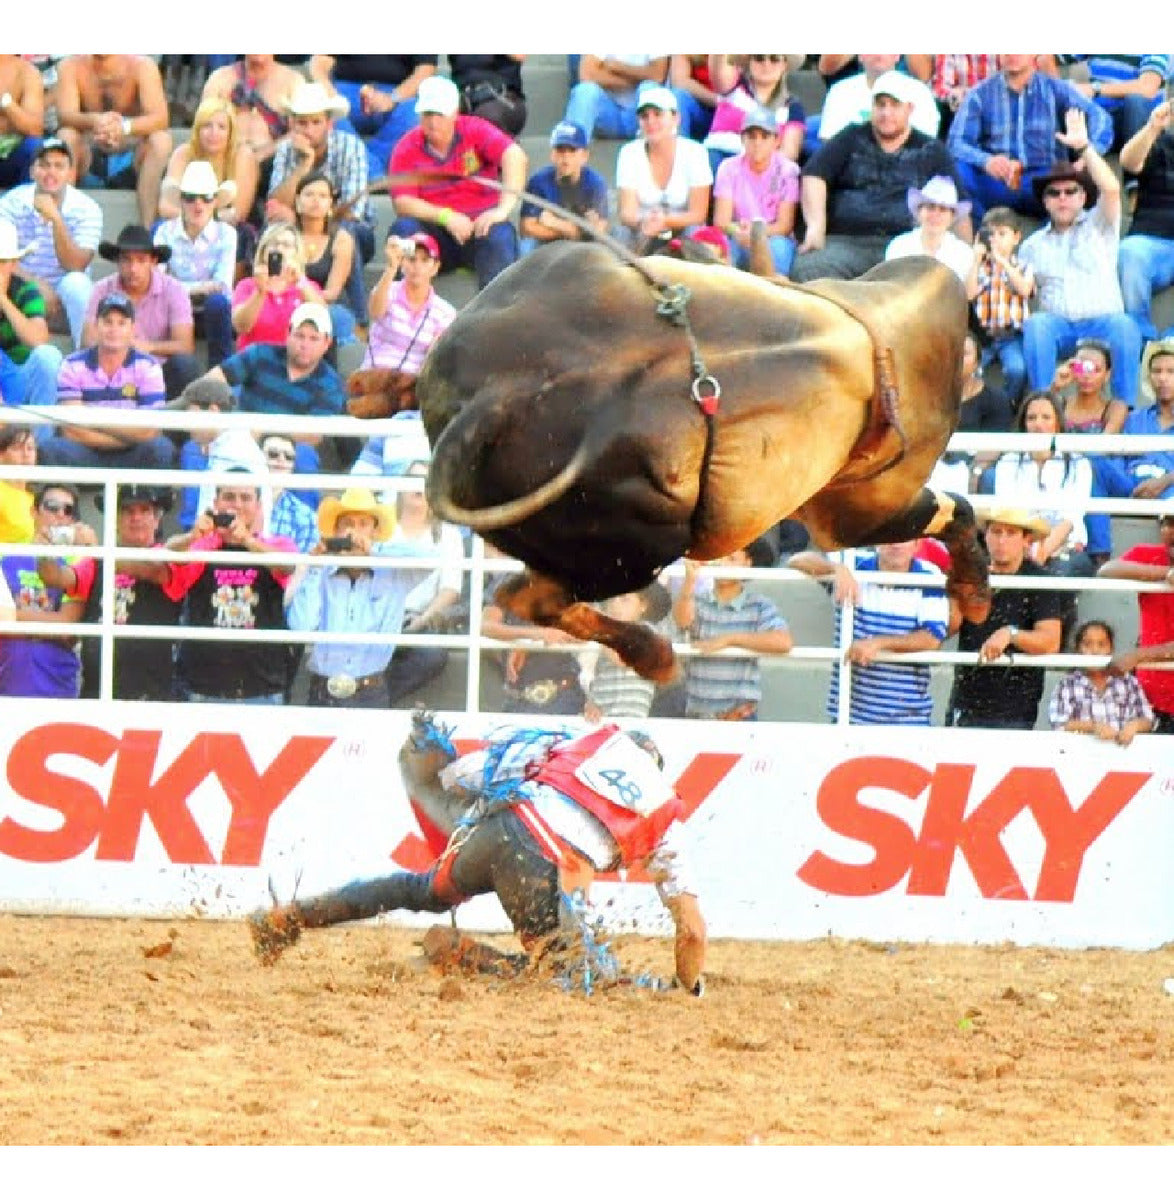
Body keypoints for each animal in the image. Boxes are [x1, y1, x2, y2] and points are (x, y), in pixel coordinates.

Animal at [345, 238, 989, 681]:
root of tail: (499, 399)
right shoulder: (853, 509)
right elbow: (951, 511)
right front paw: (973, 589)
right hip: (636, 541)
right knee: (528, 598)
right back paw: (652, 654)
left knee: (526, 595)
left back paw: (375, 387)